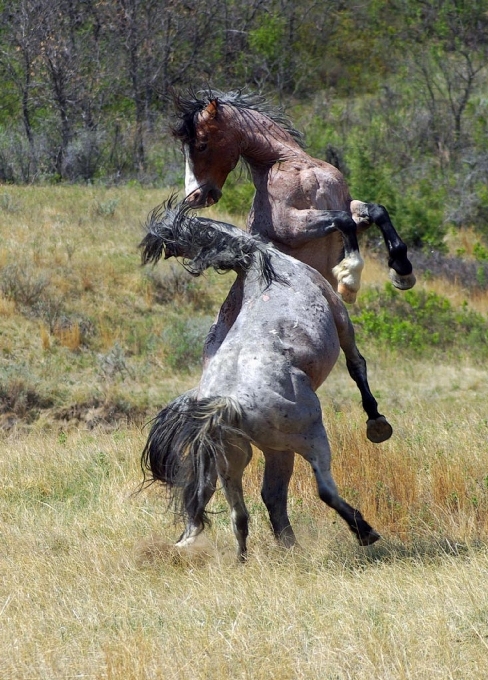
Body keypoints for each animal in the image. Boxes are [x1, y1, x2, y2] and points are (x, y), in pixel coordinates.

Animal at [139, 201, 384, 556]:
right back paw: (364, 531)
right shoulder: (339, 314)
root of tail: (228, 405)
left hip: (236, 459)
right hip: (307, 437)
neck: (263, 266)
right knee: (322, 489)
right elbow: (357, 365)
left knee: (241, 512)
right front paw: (377, 421)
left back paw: (249, 556)